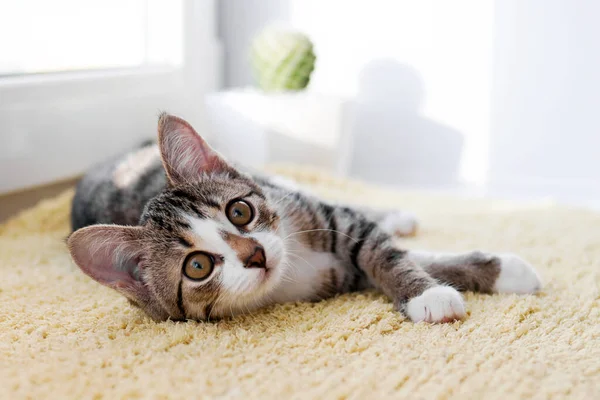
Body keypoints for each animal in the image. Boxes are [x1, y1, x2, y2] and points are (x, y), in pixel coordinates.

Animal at [68, 111, 540, 322]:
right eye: (197, 266)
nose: (256, 254)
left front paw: (500, 271)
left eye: (240, 211)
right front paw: (435, 292)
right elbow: (395, 261)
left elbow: (389, 254)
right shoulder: (339, 277)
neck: (294, 268)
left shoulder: (329, 219)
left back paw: (397, 215)